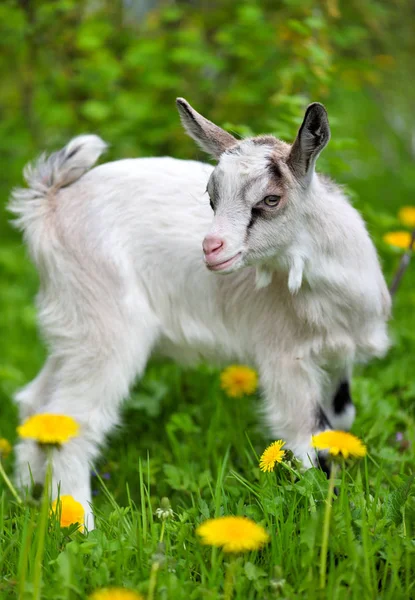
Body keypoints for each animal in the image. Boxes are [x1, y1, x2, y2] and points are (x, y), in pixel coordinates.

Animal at [8, 97, 390, 524]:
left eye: (271, 199)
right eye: (211, 199)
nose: (211, 247)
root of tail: (50, 205)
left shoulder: (339, 360)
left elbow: (340, 423)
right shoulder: (284, 358)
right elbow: (307, 436)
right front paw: (328, 517)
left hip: (74, 324)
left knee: (37, 403)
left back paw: (27, 494)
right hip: (107, 326)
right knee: (75, 421)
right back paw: (79, 525)